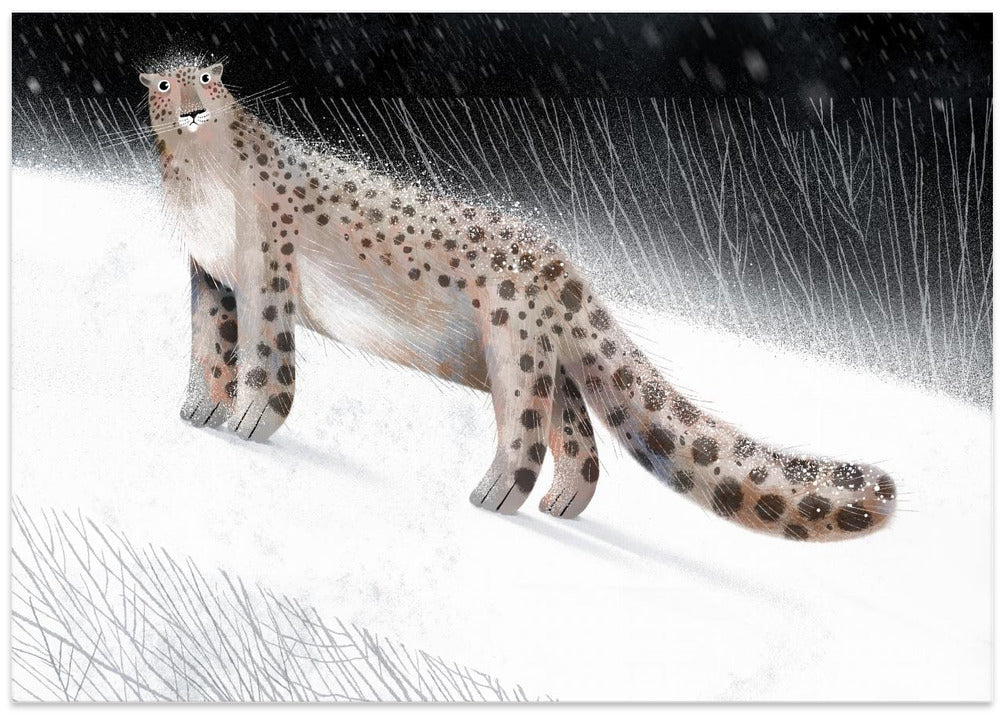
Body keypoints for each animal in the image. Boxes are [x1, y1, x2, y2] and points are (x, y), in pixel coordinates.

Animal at [140, 61, 897, 541]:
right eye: (164, 84)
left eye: (210, 79)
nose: (193, 108)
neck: (200, 185)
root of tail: (564, 264)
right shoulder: (211, 276)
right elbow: (209, 344)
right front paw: (200, 408)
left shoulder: (266, 274)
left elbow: (266, 357)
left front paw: (248, 420)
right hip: (547, 360)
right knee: (580, 436)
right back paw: (562, 502)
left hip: (513, 345)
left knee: (527, 429)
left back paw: (494, 494)